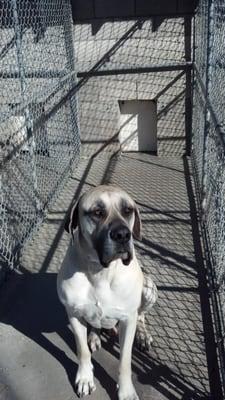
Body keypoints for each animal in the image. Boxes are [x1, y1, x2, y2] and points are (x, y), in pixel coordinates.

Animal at [57, 186, 157, 398]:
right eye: (97, 212)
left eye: (128, 210)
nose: (123, 235)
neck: (100, 272)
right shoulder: (73, 314)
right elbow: (82, 350)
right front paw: (85, 378)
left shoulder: (128, 319)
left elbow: (125, 361)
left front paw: (126, 391)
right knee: (95, 324)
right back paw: (95, 336)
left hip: (149, 287)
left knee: (141, 315)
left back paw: (142, 335)